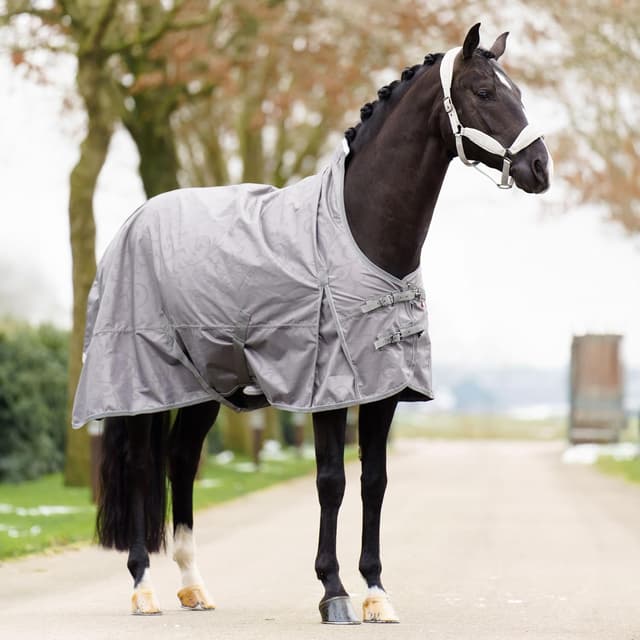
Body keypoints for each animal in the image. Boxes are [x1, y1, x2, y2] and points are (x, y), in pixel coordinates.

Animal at [75, 23, 551, 624]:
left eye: (519, 92)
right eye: (485, 91)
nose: (541, 168)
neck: (364, 234)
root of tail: (134, 221)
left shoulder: (382, 388)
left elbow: (374, 482)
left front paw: (376, 590)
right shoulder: (328, 386)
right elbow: (332, 481)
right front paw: (334, 591)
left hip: (204, 384)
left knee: (181, 460)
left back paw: (193, 586)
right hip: (141, 380)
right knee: (142, 464)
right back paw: (143, 588)